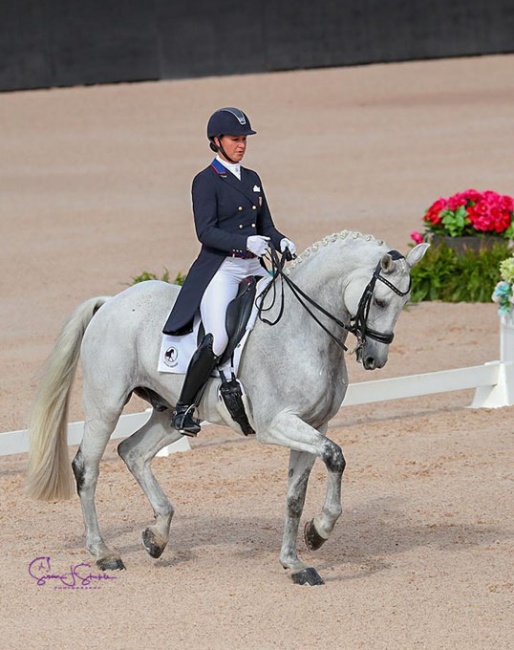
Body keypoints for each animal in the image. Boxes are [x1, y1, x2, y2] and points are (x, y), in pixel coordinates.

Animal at [29, 230, 428, 584]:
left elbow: (295, 496)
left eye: (404, 303)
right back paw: (103, 553)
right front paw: (320, 530)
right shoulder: (276, 425)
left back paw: (157, 535)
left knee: (133, 452)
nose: (375, 359)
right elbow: (336, 457)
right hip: (105, 405)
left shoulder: (315, 425)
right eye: (380, 301)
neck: (301, 330)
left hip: (168, 414)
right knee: (87, 467)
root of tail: (110, 301)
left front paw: (297, 561)